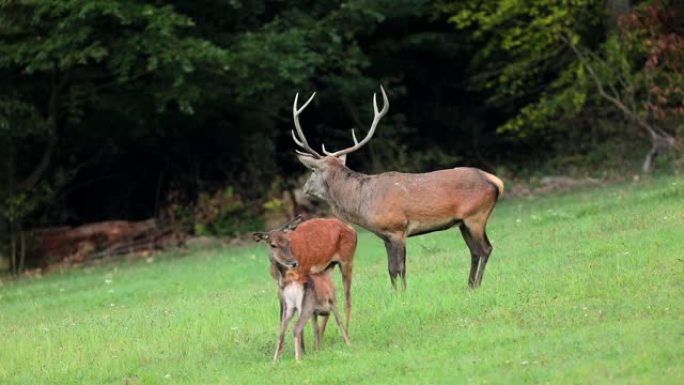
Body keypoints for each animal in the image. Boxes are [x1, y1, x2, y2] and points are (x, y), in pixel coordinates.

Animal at [288, 84, 502, 288]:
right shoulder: (385, 236)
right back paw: (470, 285)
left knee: (485, 248)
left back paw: (476, 284)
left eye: (313, 171)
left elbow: (399, 268)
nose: (305, 188)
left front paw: (402, 294)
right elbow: (392, 269)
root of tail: (495, 181)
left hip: (476, 215)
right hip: (463, 222)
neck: (363, 204)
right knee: (475, 251)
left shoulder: (397, 228)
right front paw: (396, 293)